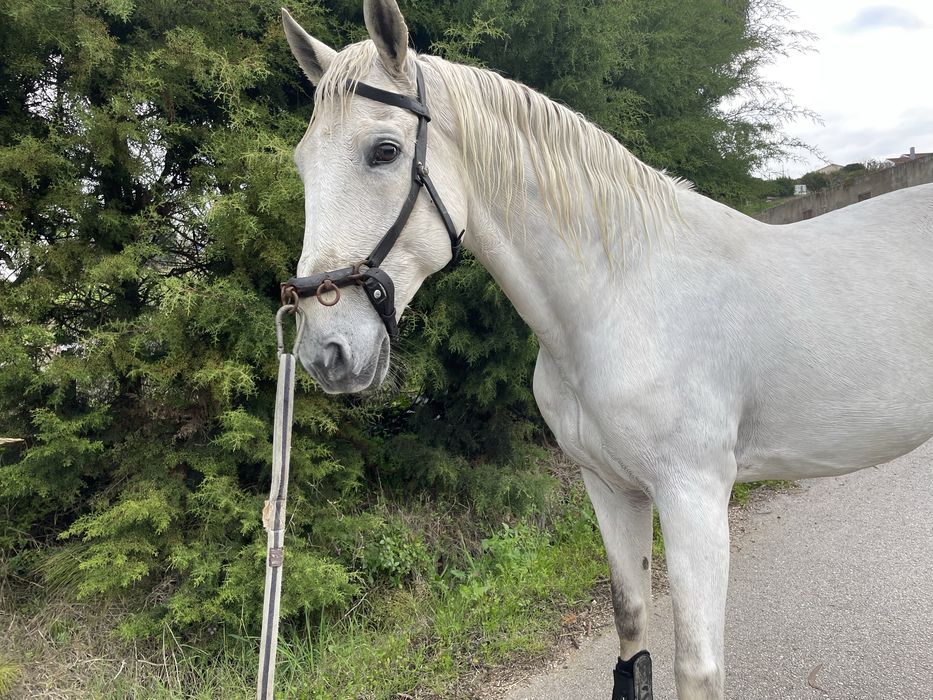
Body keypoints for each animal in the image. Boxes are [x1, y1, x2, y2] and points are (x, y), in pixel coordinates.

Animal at [279, 2, 933, 697]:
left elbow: (697, 666)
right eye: (301, 163)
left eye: (385, 150)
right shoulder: (611, 487)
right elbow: (630, 623)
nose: (326, 350)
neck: (624, 297)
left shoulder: (695, 496)